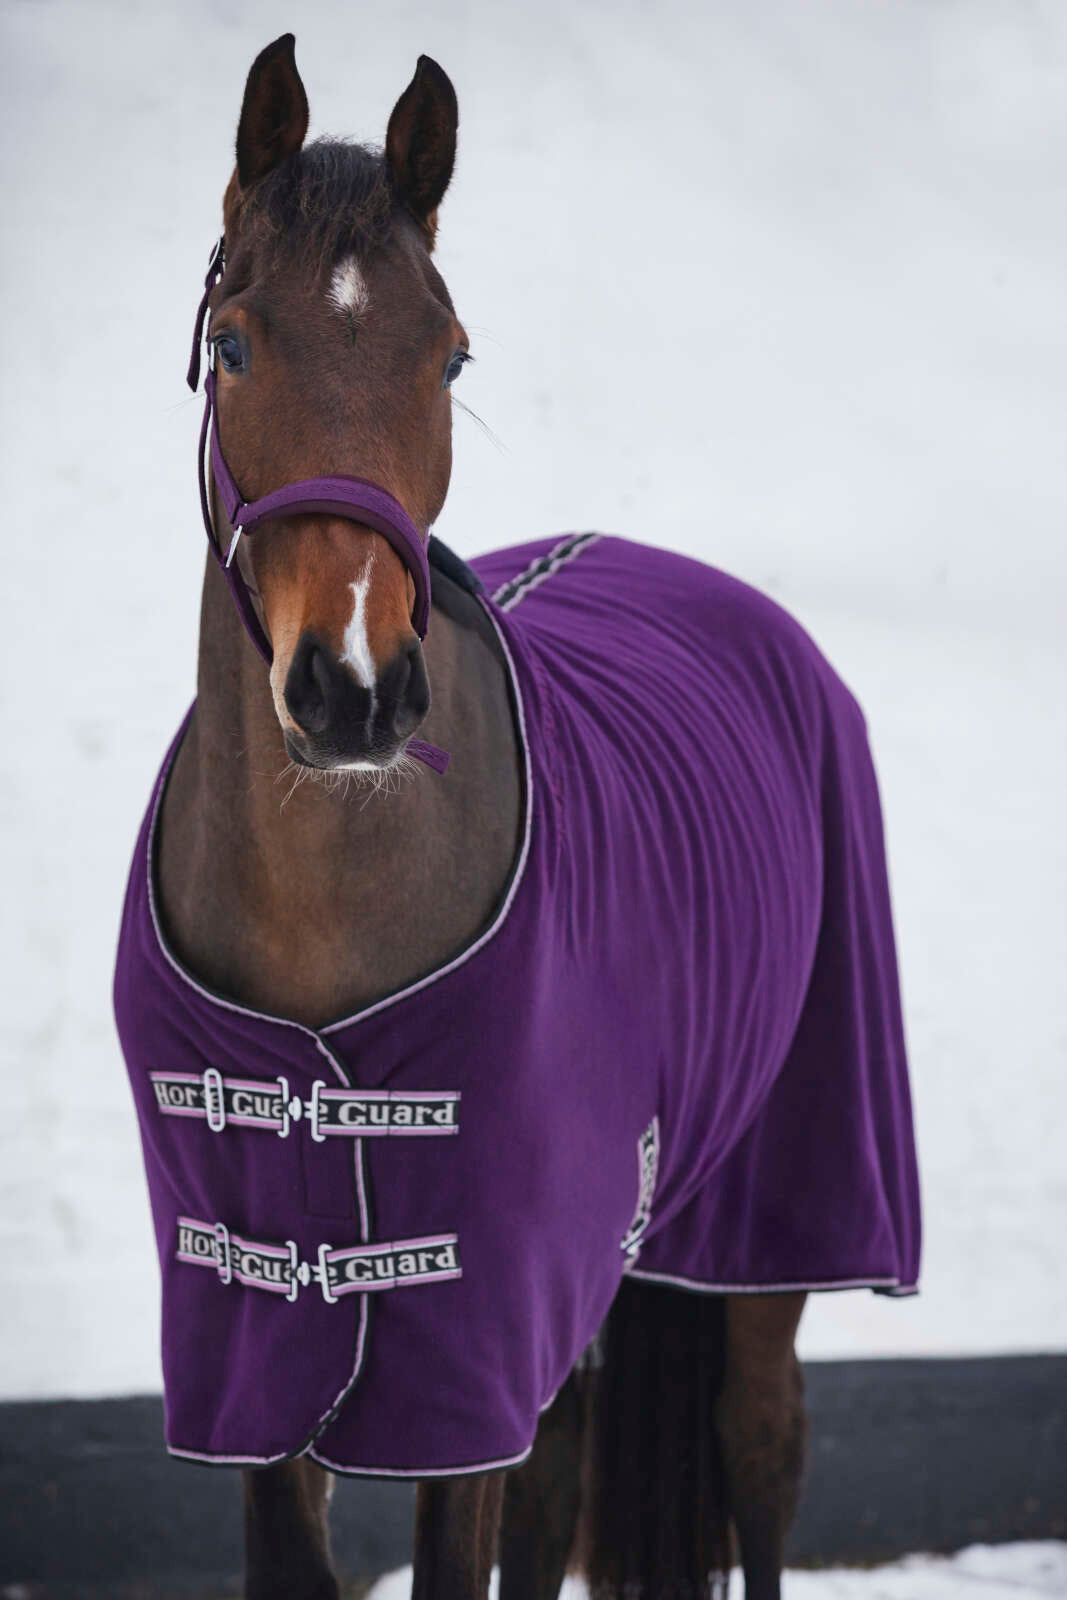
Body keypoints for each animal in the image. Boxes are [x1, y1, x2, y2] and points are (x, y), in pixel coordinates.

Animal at [114, 34, 920, 1600]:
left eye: (449, 353)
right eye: (231, 342)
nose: (355, 688)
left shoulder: (463, 1346)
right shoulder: (257, 1350)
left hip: (772, 1216)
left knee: (760, 1450)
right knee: (560, 1492)